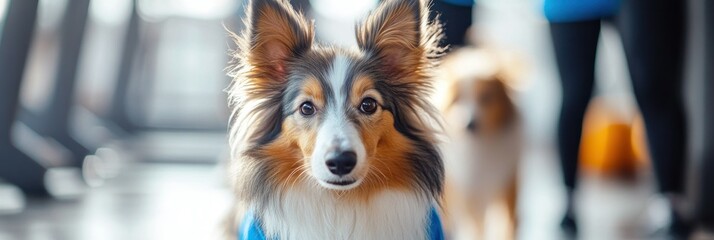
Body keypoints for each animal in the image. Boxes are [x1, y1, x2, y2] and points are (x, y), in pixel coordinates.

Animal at [434, 47, 524, 240]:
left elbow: (508, 226)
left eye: (486, 97)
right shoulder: (470, 194)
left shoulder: (508, 185)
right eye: (457, 99)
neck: (482, 145)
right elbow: (476, 229)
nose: (470, 124)